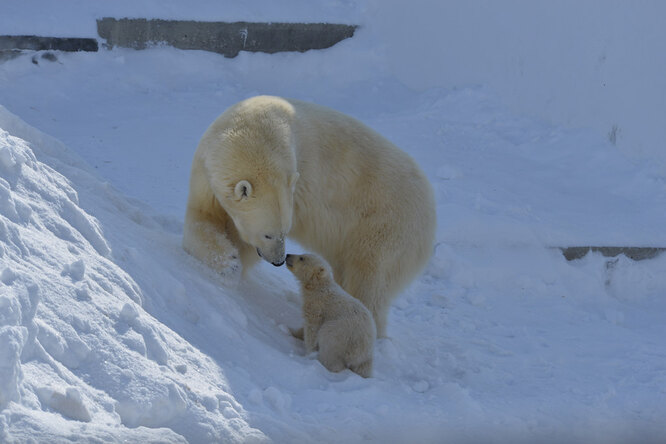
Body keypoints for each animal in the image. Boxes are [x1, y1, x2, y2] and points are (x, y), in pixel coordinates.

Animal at [183, 95, 436, 334]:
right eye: (268, 234)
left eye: (284, 231)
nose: (278, 261)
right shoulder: (207, 170)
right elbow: (202, 216)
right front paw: (226, 262)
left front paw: (234, 265)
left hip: (385, 225)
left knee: (368, 278)